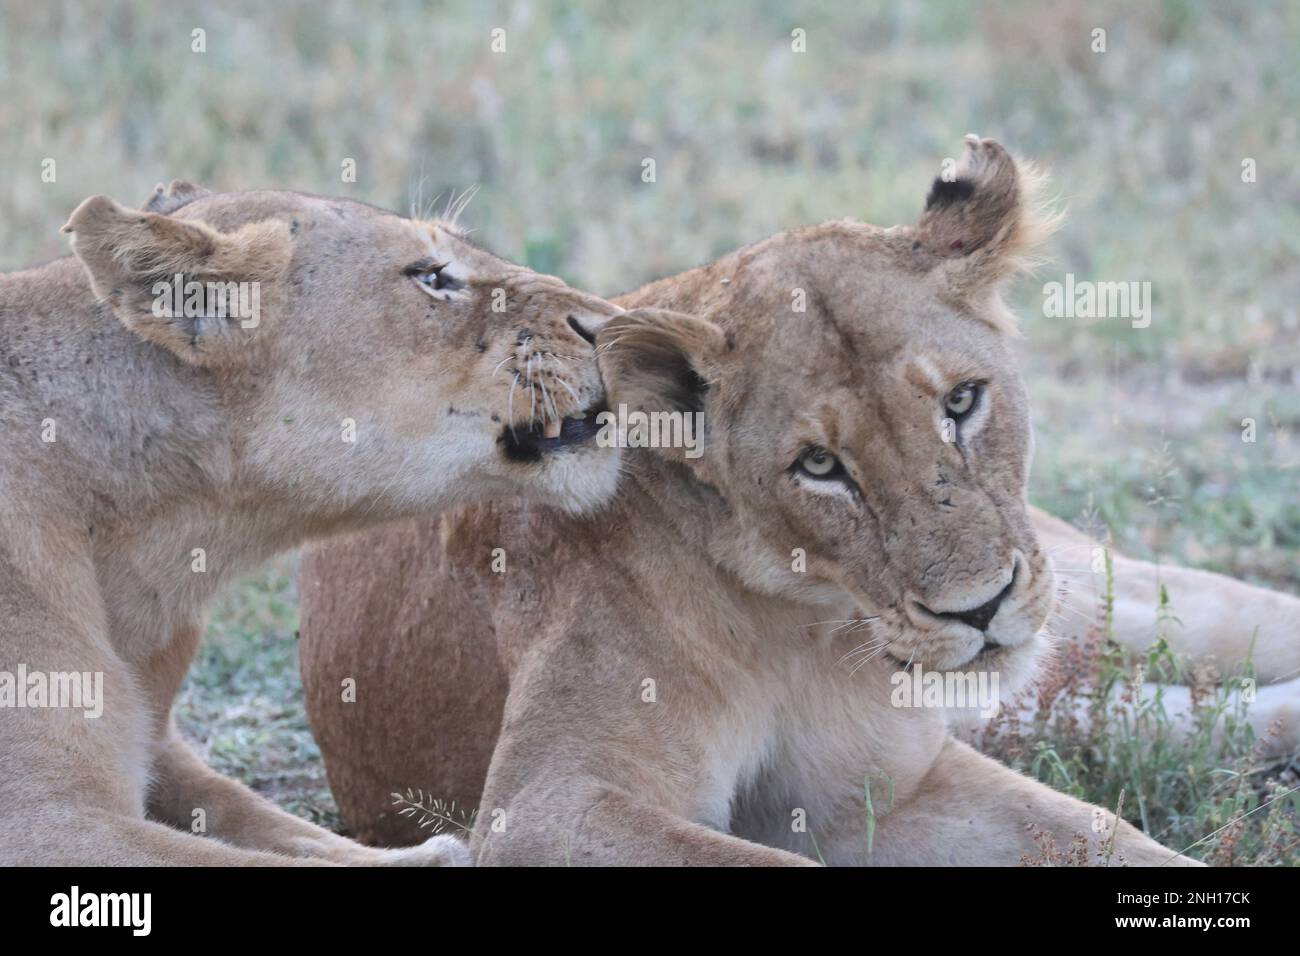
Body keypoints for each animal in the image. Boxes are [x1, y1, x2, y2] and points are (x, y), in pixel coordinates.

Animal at [0, 179, 634, 868]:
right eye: (430, 276)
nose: (618, 326)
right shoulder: (44, 816)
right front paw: (435, 853)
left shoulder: (161, 750)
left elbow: (284, 830)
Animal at [299, 136, 1294, 868]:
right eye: (819, 465)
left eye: (962, 402)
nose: (980, 609)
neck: (802, 617)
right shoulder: (546, 806)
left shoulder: (893, 783)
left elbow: (1101, 834)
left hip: (1082, 590)